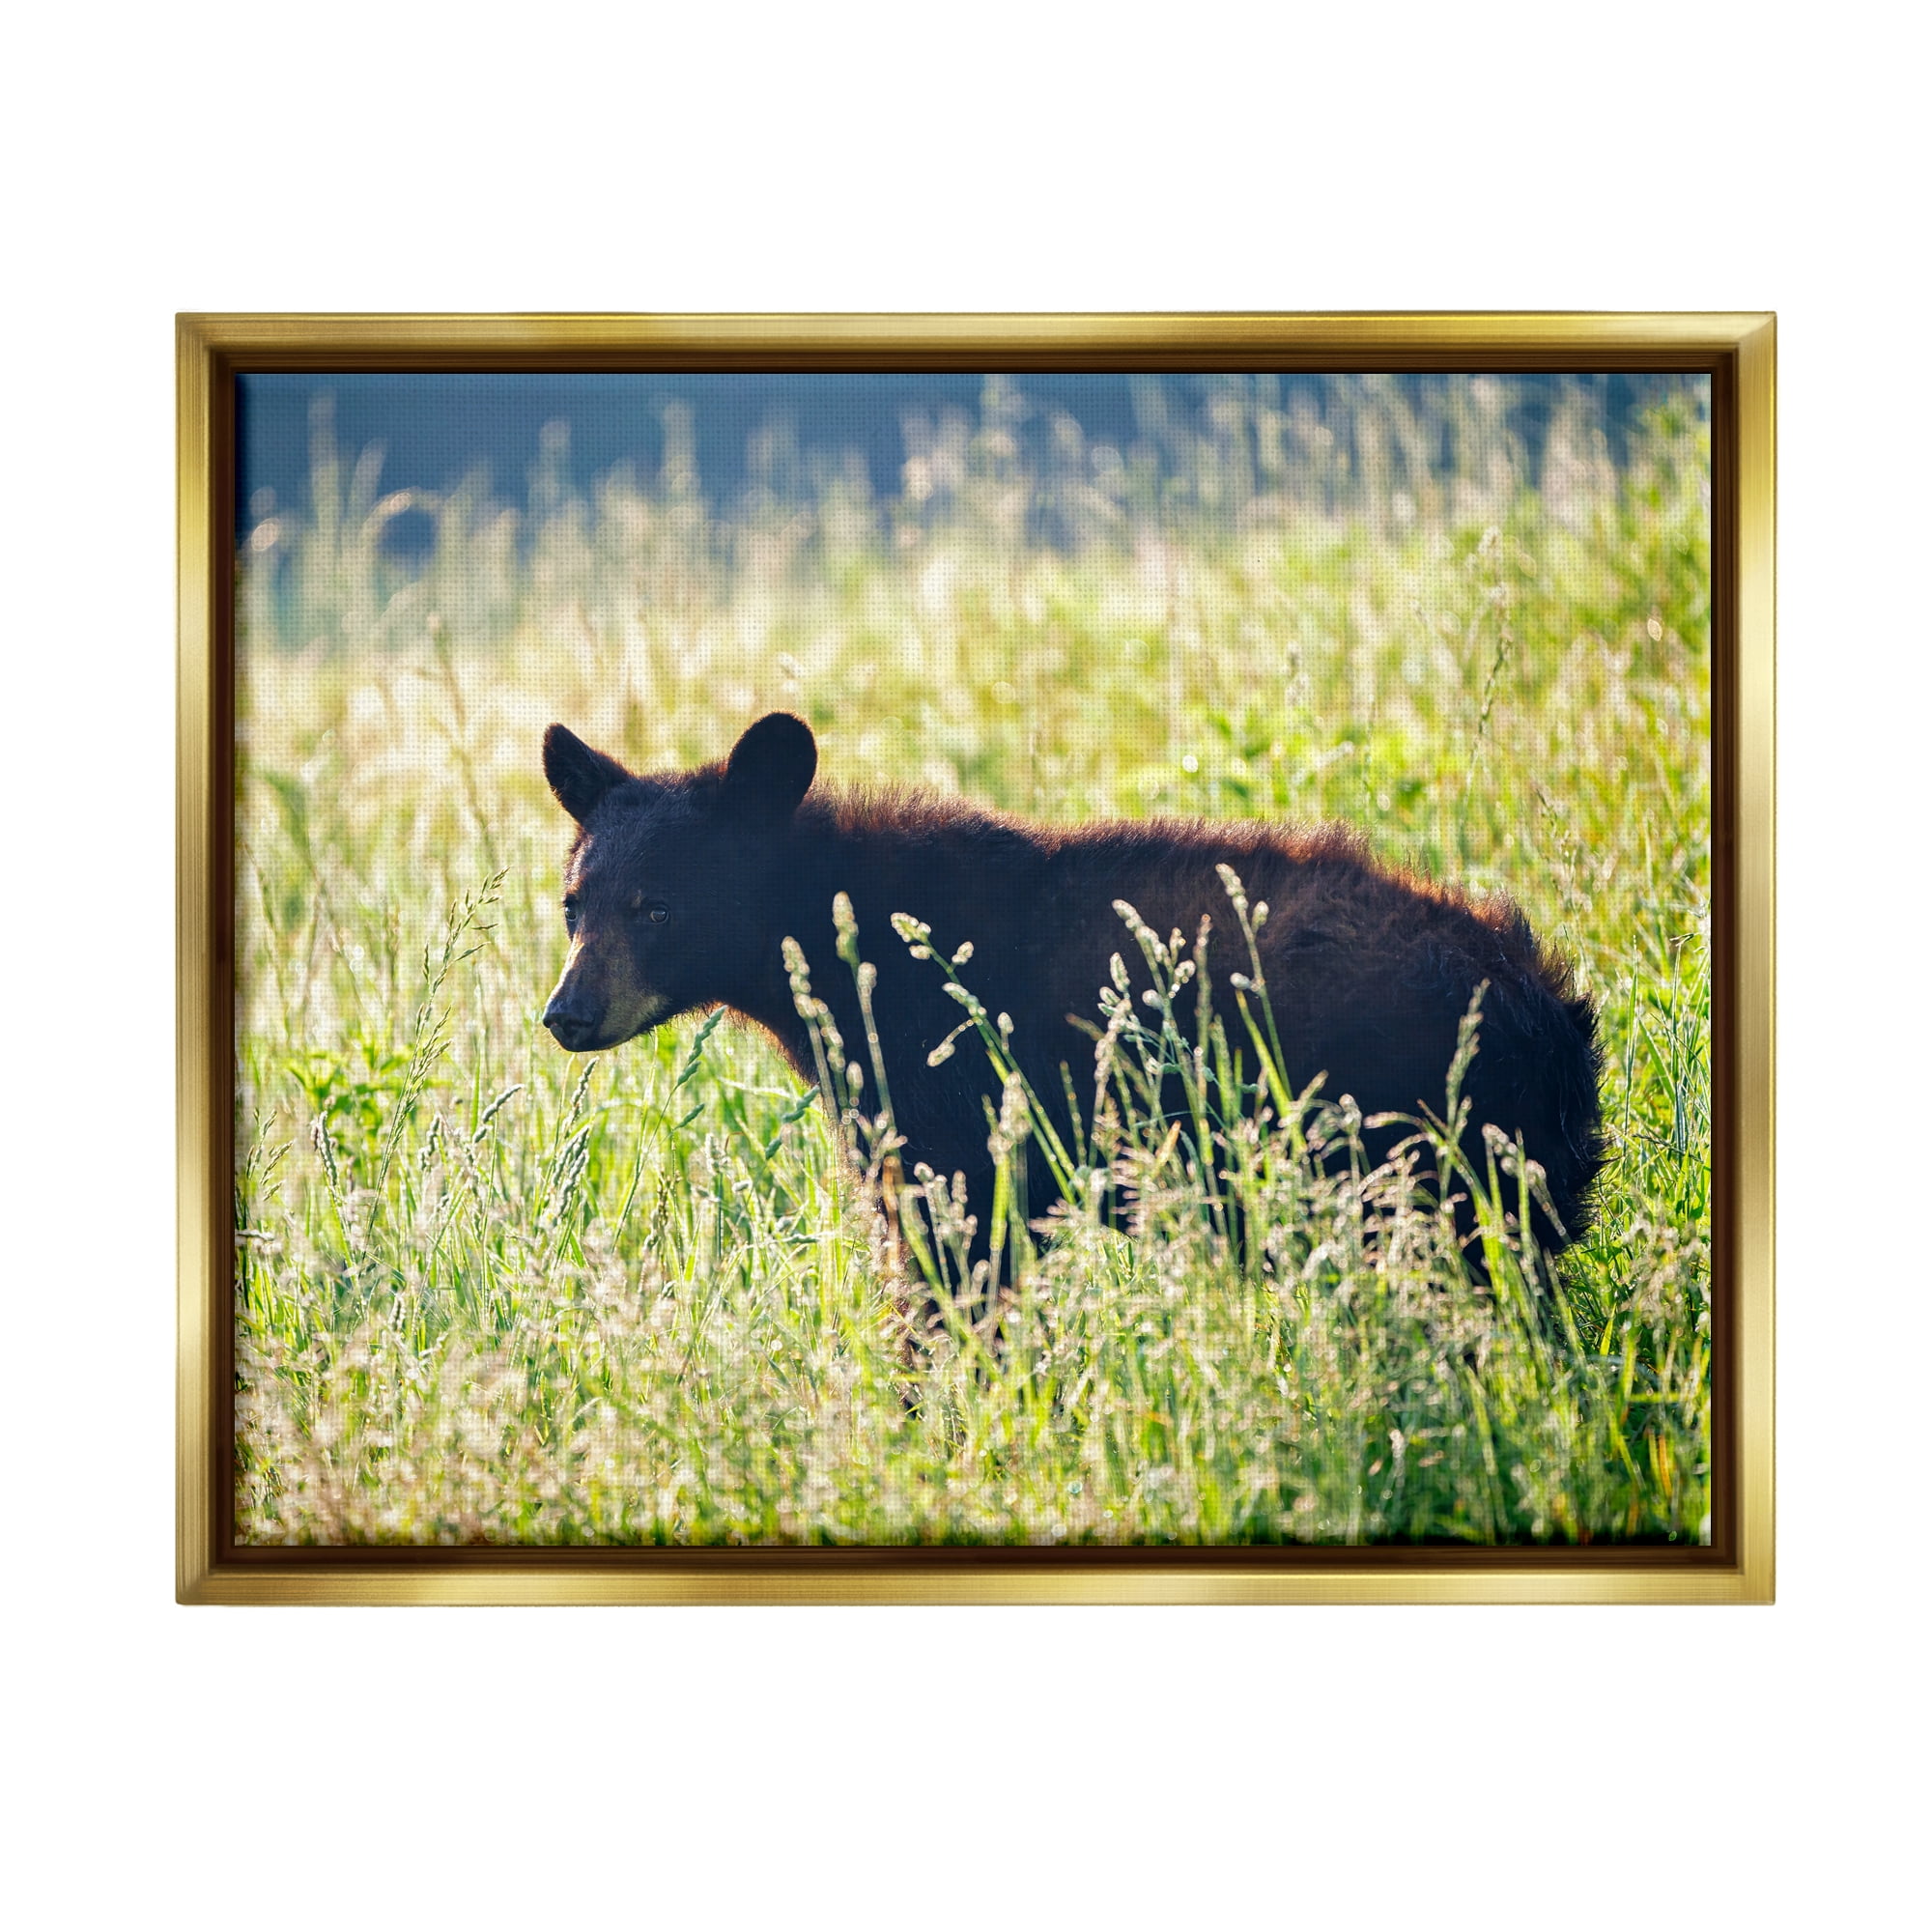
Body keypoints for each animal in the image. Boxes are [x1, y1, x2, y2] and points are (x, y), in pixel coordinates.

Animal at [539, 711, 1604, 1288]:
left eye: (657, 905)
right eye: (572, 903)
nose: (567, 1015)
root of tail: (1543, 1010)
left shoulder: (955, 1110)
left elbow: (954, 1267)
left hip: (1407, 1150)